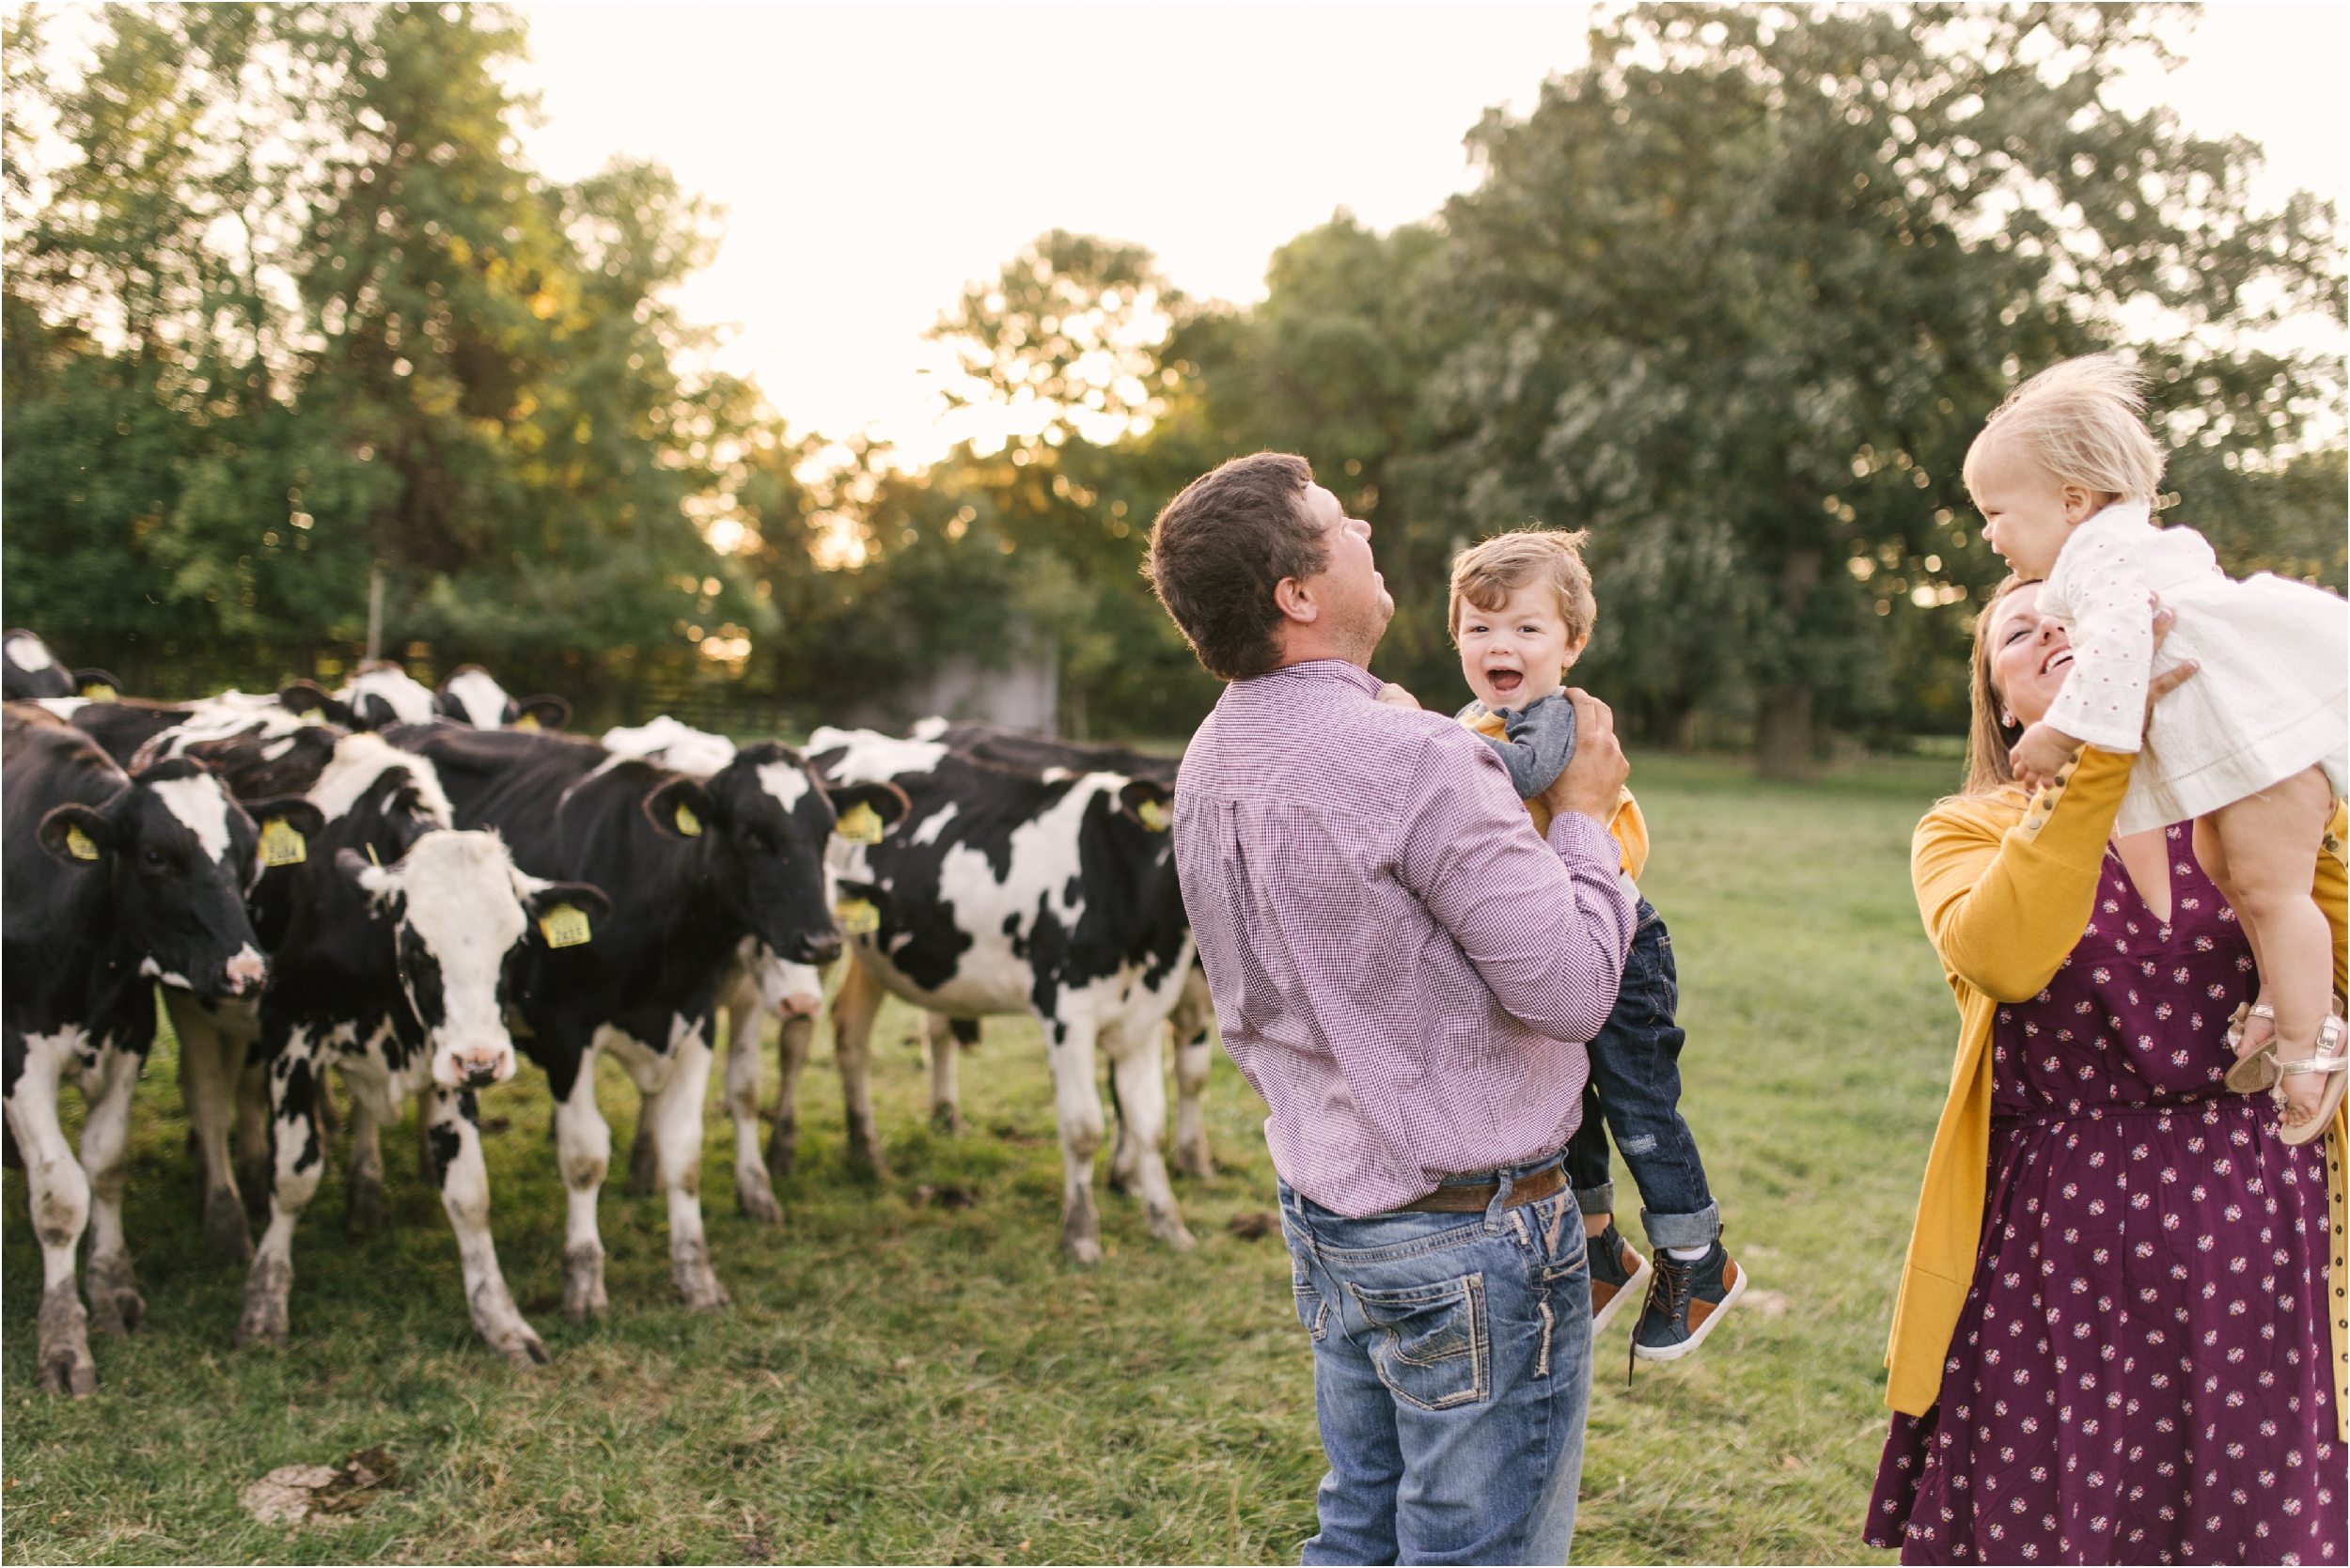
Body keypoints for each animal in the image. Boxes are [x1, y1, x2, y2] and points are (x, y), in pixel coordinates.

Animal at [2, 705, 310, 1391]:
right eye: (154, 857)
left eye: (248, 856)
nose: (249, 970)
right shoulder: (17, 1058)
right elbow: (60, 1195)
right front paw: (63, 1341)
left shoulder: (128, 1038)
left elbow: (105, 1165)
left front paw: (112, 1290)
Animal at [385, 729, 898, 1316]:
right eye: (750, 833)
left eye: (826, 831)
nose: (823, 941)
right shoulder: (567, 1033)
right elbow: (584, 1156)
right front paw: (584, 1284)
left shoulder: (697, 1021)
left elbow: (686, 1151)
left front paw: (697, 1276)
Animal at [804, 729, 1194, 1260]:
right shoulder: (1065, 1010)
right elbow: (1084, 1126)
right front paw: (1081, 1234)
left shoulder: (1145, 1016)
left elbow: (1149, 1123)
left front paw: (1168, 1225)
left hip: (871, 956)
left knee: (851, 1031)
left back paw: (867, 1152)